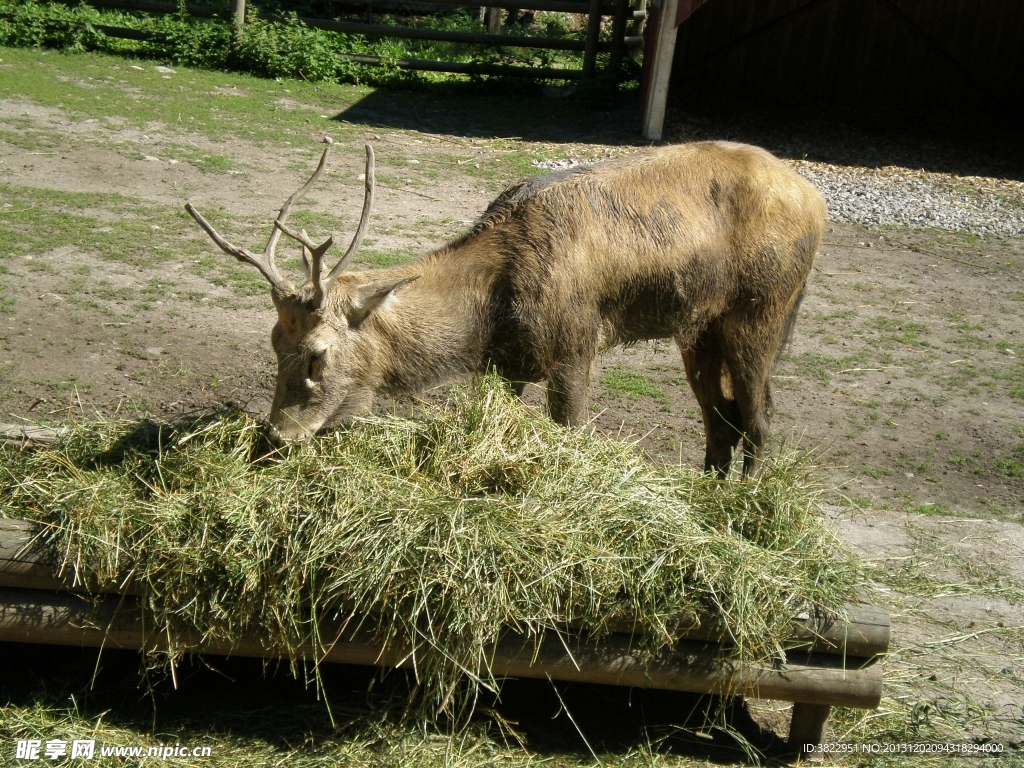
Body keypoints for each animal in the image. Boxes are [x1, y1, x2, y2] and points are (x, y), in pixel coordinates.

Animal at [186, 135, 823, 479]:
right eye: (273, 342)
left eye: (318, 354)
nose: (277, 436)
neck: (492, 312)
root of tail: (816, 202)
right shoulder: (508, 364)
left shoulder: (573, 344)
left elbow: (570, 430)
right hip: (698, 326)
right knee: (722, 419)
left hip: (764, 307)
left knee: (760, 416)